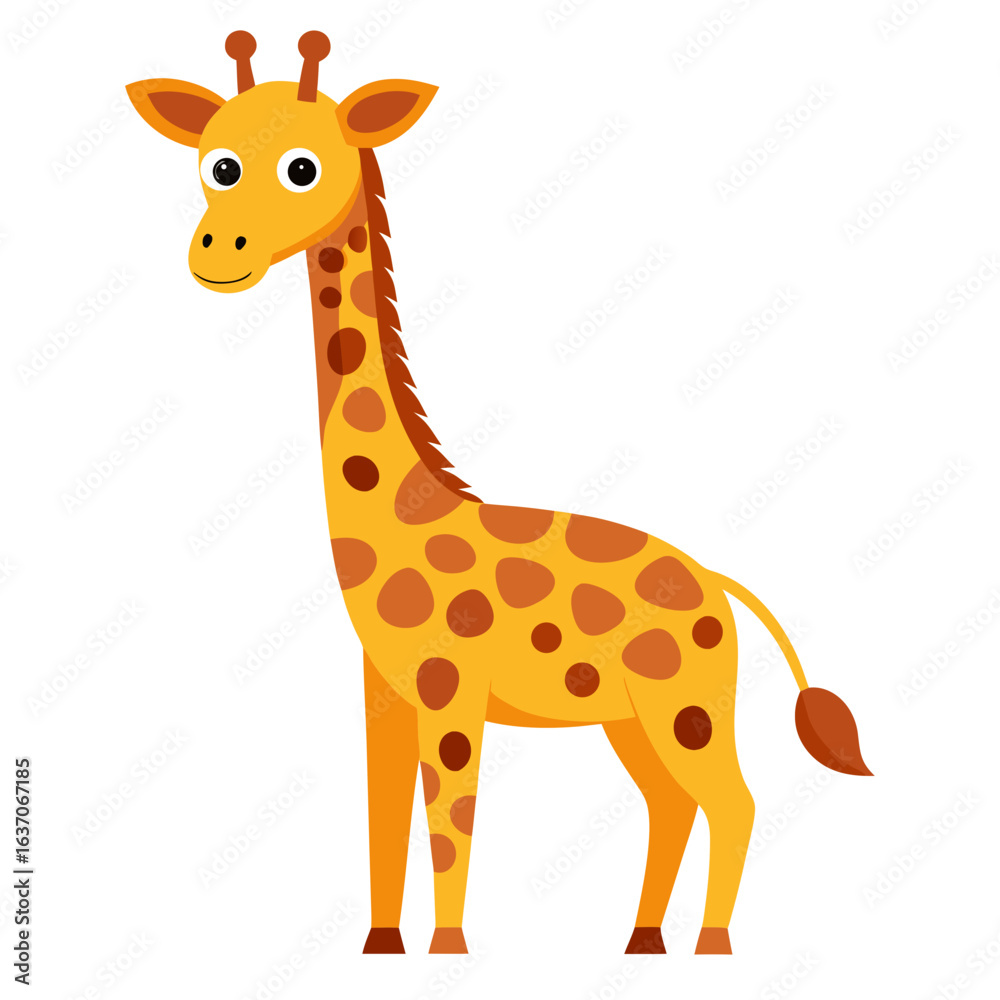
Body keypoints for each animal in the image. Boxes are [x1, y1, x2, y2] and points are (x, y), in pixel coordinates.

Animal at [127, 30, 872, 956]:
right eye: (218, 163)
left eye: (302, 168)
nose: (216, 251)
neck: (401, 512)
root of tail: (722, 589)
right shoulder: (383, 692)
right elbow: (383, 818)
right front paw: (382, 947)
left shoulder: (453, 686)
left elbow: (453, 820)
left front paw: (449, 950)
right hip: (633, 717)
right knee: (671, 804)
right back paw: (641, 941)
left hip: (686, 705)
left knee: (733, 801)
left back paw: (710, 947)